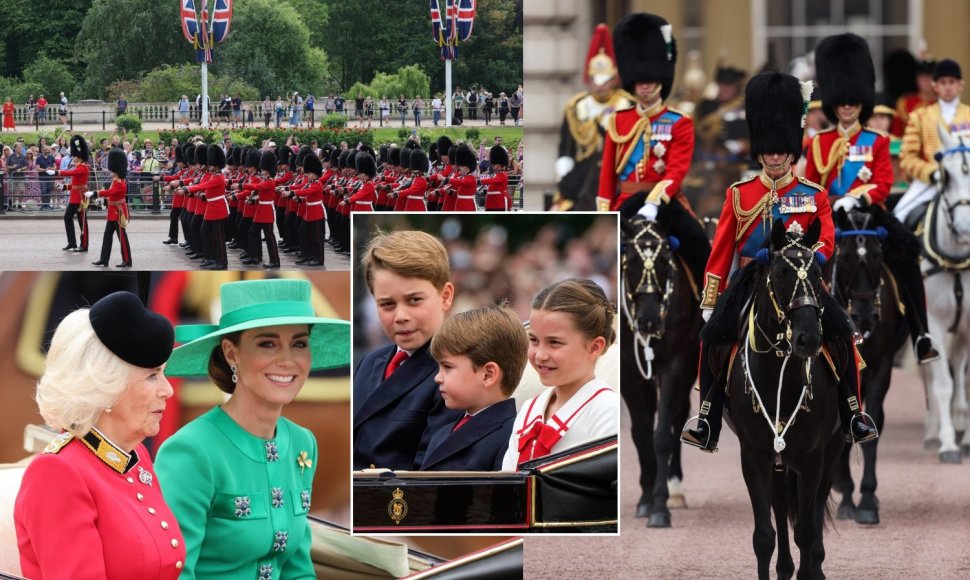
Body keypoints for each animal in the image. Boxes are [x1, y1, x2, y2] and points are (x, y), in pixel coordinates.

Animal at [620, 203, 704, 524]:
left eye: (666, 260)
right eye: (630, 260)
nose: (649, 321)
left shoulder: (673, 365)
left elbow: (662, 435)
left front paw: (659, 506)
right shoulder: (630, 372)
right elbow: (641, 433)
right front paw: (646, 499)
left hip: (689, 363)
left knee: (677, 416)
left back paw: (674, 489)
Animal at [724, 219, 844, 580]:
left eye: (817, 274)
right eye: (779, 274)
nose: (809, 339)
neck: (778, 368)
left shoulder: (813, 455)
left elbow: (806, 528)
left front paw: (810, 569)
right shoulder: (754, 453)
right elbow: (764, 535)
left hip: (832, 449)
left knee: (816, 505)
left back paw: (814, 565)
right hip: (778, 459)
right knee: (780, 503)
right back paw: (785, 567)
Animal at [824, 208, 908, 524]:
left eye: (876, 254)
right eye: (846, 256)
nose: (864, 317)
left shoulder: (880, 369)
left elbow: (870, 430)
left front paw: (868, 501)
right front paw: (848, 498)